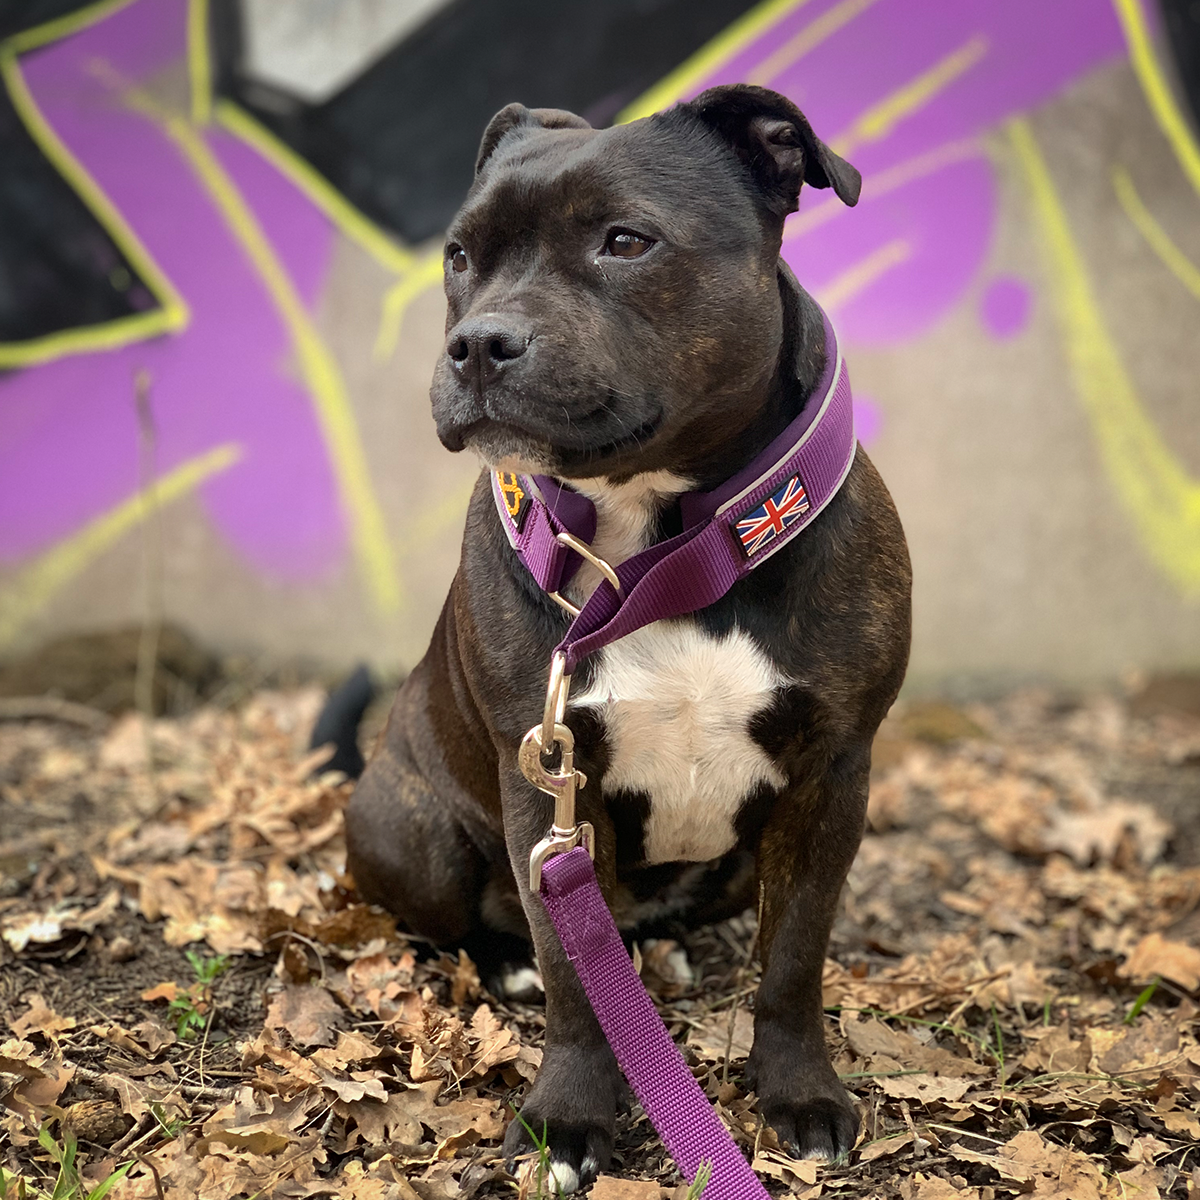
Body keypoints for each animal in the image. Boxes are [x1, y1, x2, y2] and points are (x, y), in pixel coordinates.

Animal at [345, 84, 907, 1190]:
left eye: (625, 241)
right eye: (460, 256)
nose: (478, 342)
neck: (658, 547)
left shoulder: (831, 776)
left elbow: (794, 958)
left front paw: (798, 1094)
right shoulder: (547, 786)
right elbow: (574, 976)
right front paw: (566, 1118)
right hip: (409, 829)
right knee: (477, 925)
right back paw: (513, 963)